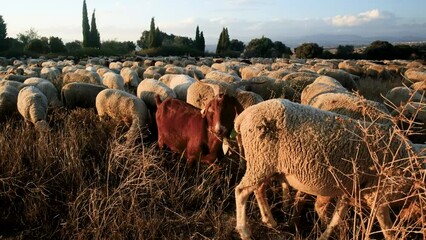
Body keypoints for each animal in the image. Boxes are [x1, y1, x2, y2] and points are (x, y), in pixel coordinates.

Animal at [233, 98, 420, 240]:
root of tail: (243, 116)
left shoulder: (350, 192)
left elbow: (336, 219)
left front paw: (325, 236)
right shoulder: (379, 195)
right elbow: (388, 230)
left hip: (265, 164)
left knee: (259, 189)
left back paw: (269, 220)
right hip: (260, 159)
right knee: (241, 191)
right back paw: (245, 231)